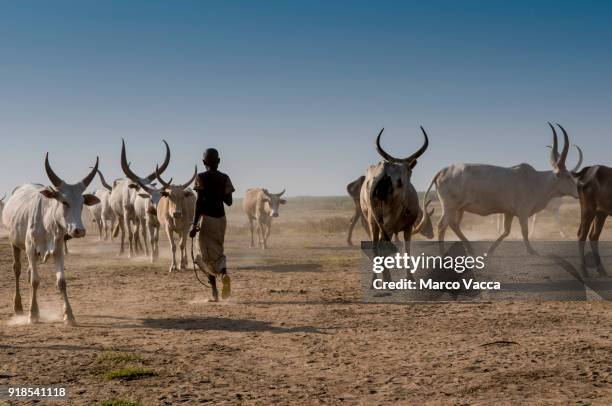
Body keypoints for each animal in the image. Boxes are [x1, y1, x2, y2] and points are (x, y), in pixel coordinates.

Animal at [1, 154, 99, 326]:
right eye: (64, 202)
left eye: (82, 204)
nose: (79, 231)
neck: (47, 222)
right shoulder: (31, 249)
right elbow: (35, 281)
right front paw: (33, 314)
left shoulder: (58, 249)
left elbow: (61, 282)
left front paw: (69, 315)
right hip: (14, 243)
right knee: (17, 269)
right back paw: (18, 307)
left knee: (28, 273)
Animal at [424, 123, 576, 254]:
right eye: (568, 176)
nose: (577, 192)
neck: (536, 180)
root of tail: (443, 171)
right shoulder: (522, 212)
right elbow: (524, 231)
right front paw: (532, 251)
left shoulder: (508, 212)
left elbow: (506, 232)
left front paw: (489, 251)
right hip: (450, 207)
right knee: (442, 226)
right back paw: (443, 254)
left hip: (459, 209)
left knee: (453, 225)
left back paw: (470, 249)